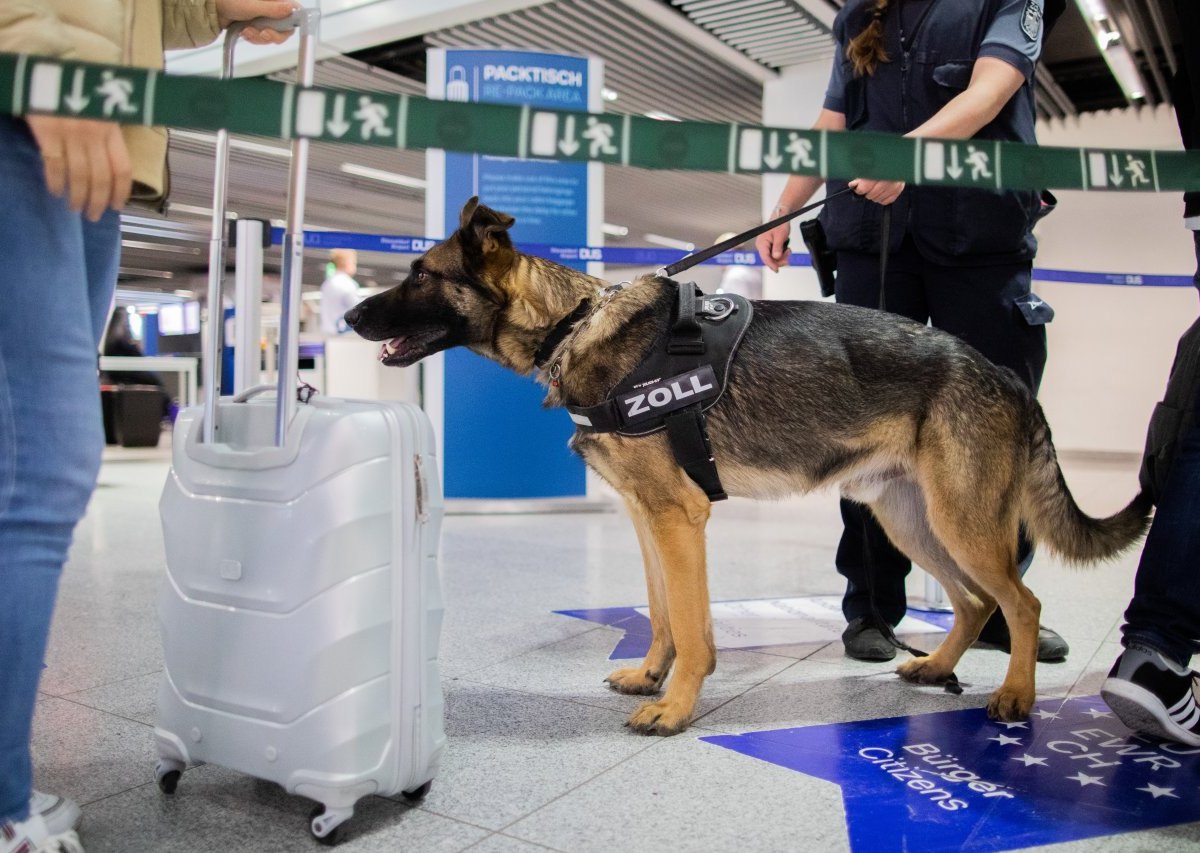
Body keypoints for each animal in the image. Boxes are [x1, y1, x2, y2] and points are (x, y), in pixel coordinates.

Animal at [343, 196, 1147, 739]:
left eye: (420, 273)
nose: (348, 318)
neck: (574, 324)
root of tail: (1003, 375)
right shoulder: (648, 519)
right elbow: (662, 612)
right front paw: (651, 676)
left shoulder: (680, 518)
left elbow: (694, 626)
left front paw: (675, 706)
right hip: (913, 521)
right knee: (976, 601)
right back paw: (934, 667)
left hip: (962, 520)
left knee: (1022, 602)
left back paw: (1015, 695)